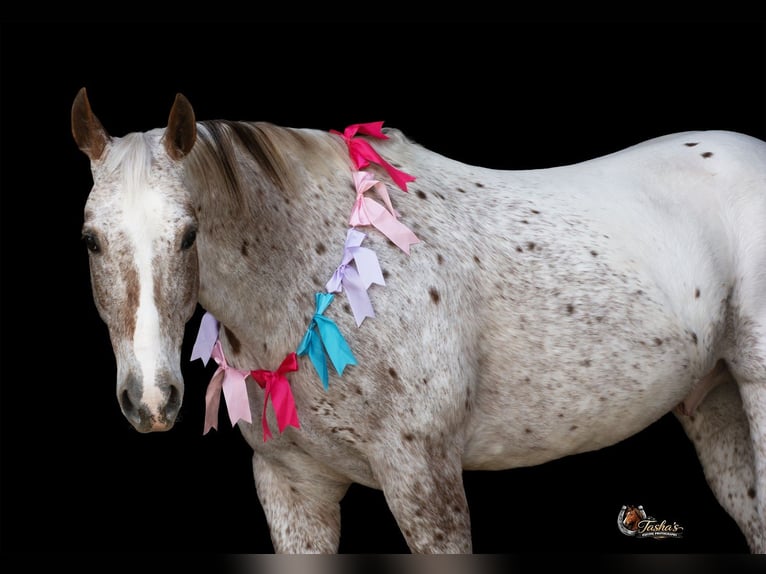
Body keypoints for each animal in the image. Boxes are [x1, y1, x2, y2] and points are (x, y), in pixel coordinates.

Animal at [71, 86, 766, 553]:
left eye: (189, 235)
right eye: (91, 241)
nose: (151, 400)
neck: (322, 276)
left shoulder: (424, 480)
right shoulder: (293, 487)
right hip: (715, 403)